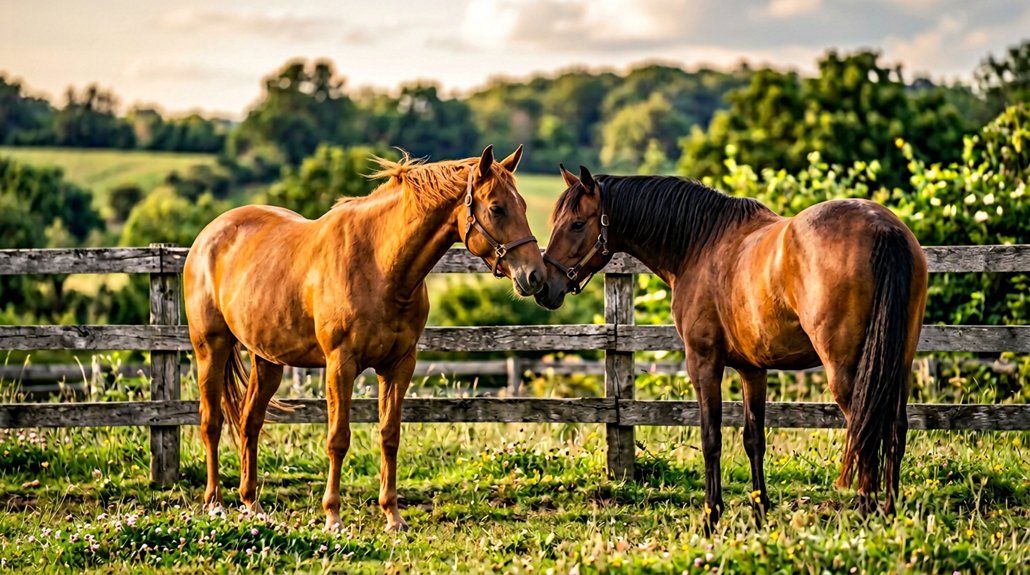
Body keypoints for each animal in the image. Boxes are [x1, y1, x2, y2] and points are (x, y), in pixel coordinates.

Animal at [184, 145, 545, 532]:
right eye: (497, 207)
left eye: (523, 205)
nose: (535, 276)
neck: (379, 264)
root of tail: (209, 235)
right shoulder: (340, 365)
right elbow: (338, 438)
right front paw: (332, 515)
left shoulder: (399, 366)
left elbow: (390, 436)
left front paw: (393, 516)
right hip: (211, 349)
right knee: (212, 423)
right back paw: (215, 504)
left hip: (267, 360)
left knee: (250, 422)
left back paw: (252, 504)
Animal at [536, 165, 927, 527]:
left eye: (576, 224)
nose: (543, 286)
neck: (699, 244)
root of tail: (884, 228)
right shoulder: (752, 369)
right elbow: (754, 439)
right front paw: (760, 511)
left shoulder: (703, 362)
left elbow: (711, 438)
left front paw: (712, 514)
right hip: (898, 365)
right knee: (895, 429)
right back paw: (889, 512)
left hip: (847, 372)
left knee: (866, 428)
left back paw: (867, 513)